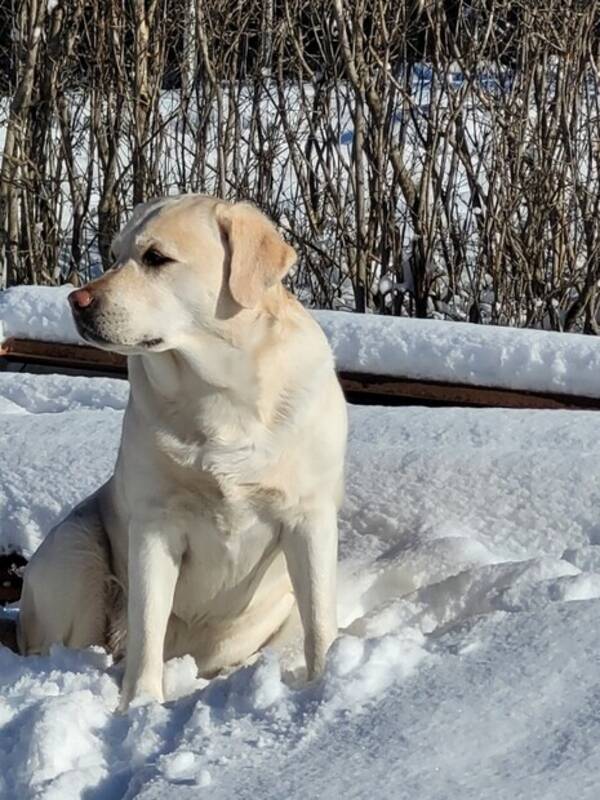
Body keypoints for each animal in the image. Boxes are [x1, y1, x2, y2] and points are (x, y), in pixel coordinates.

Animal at [17, 197, 346, 708]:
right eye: (115, 254)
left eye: (156, 258)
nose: (76, 300)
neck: (220, 394)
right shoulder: (156, 524)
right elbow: (148, 624)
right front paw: (140, 704)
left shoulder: (307, 517)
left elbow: (319, 618)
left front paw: (325, 685)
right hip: (74, 548)